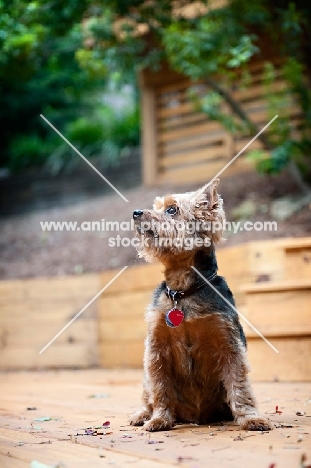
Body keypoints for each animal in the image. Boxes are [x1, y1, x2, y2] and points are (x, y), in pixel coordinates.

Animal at [130, 178, 272, 432]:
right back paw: (142, 415)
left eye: (172, 210)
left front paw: (250, 418)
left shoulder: (229, 344)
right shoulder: (157, 349)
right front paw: (159, 419)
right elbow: (160, 388)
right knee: (148, 395)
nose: (136, 212)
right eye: (157, 207)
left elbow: (239, 385)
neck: (182, 292)